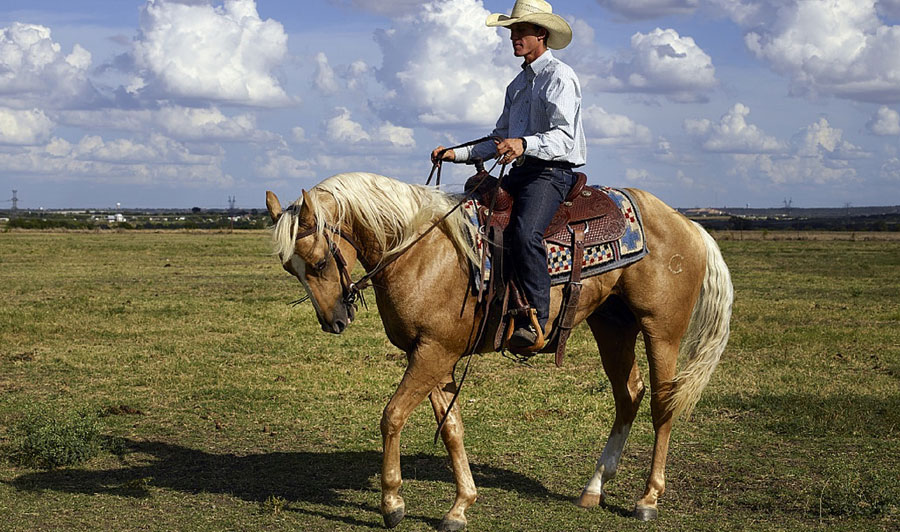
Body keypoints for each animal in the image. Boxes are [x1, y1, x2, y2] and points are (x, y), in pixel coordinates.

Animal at [266, 172, 732, 528]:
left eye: (320, 263)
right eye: (291, 268)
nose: (334, 321)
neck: (422, 250)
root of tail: (687, 224)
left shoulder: (433, 352)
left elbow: (392, 416)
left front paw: (392, 504)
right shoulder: (434, 354)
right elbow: (452, 428)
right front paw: (460, 506)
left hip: (661, 332)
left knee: (662, 405)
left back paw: (648, 499)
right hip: (612, 326)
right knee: (628, 395)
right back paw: (594, 487)